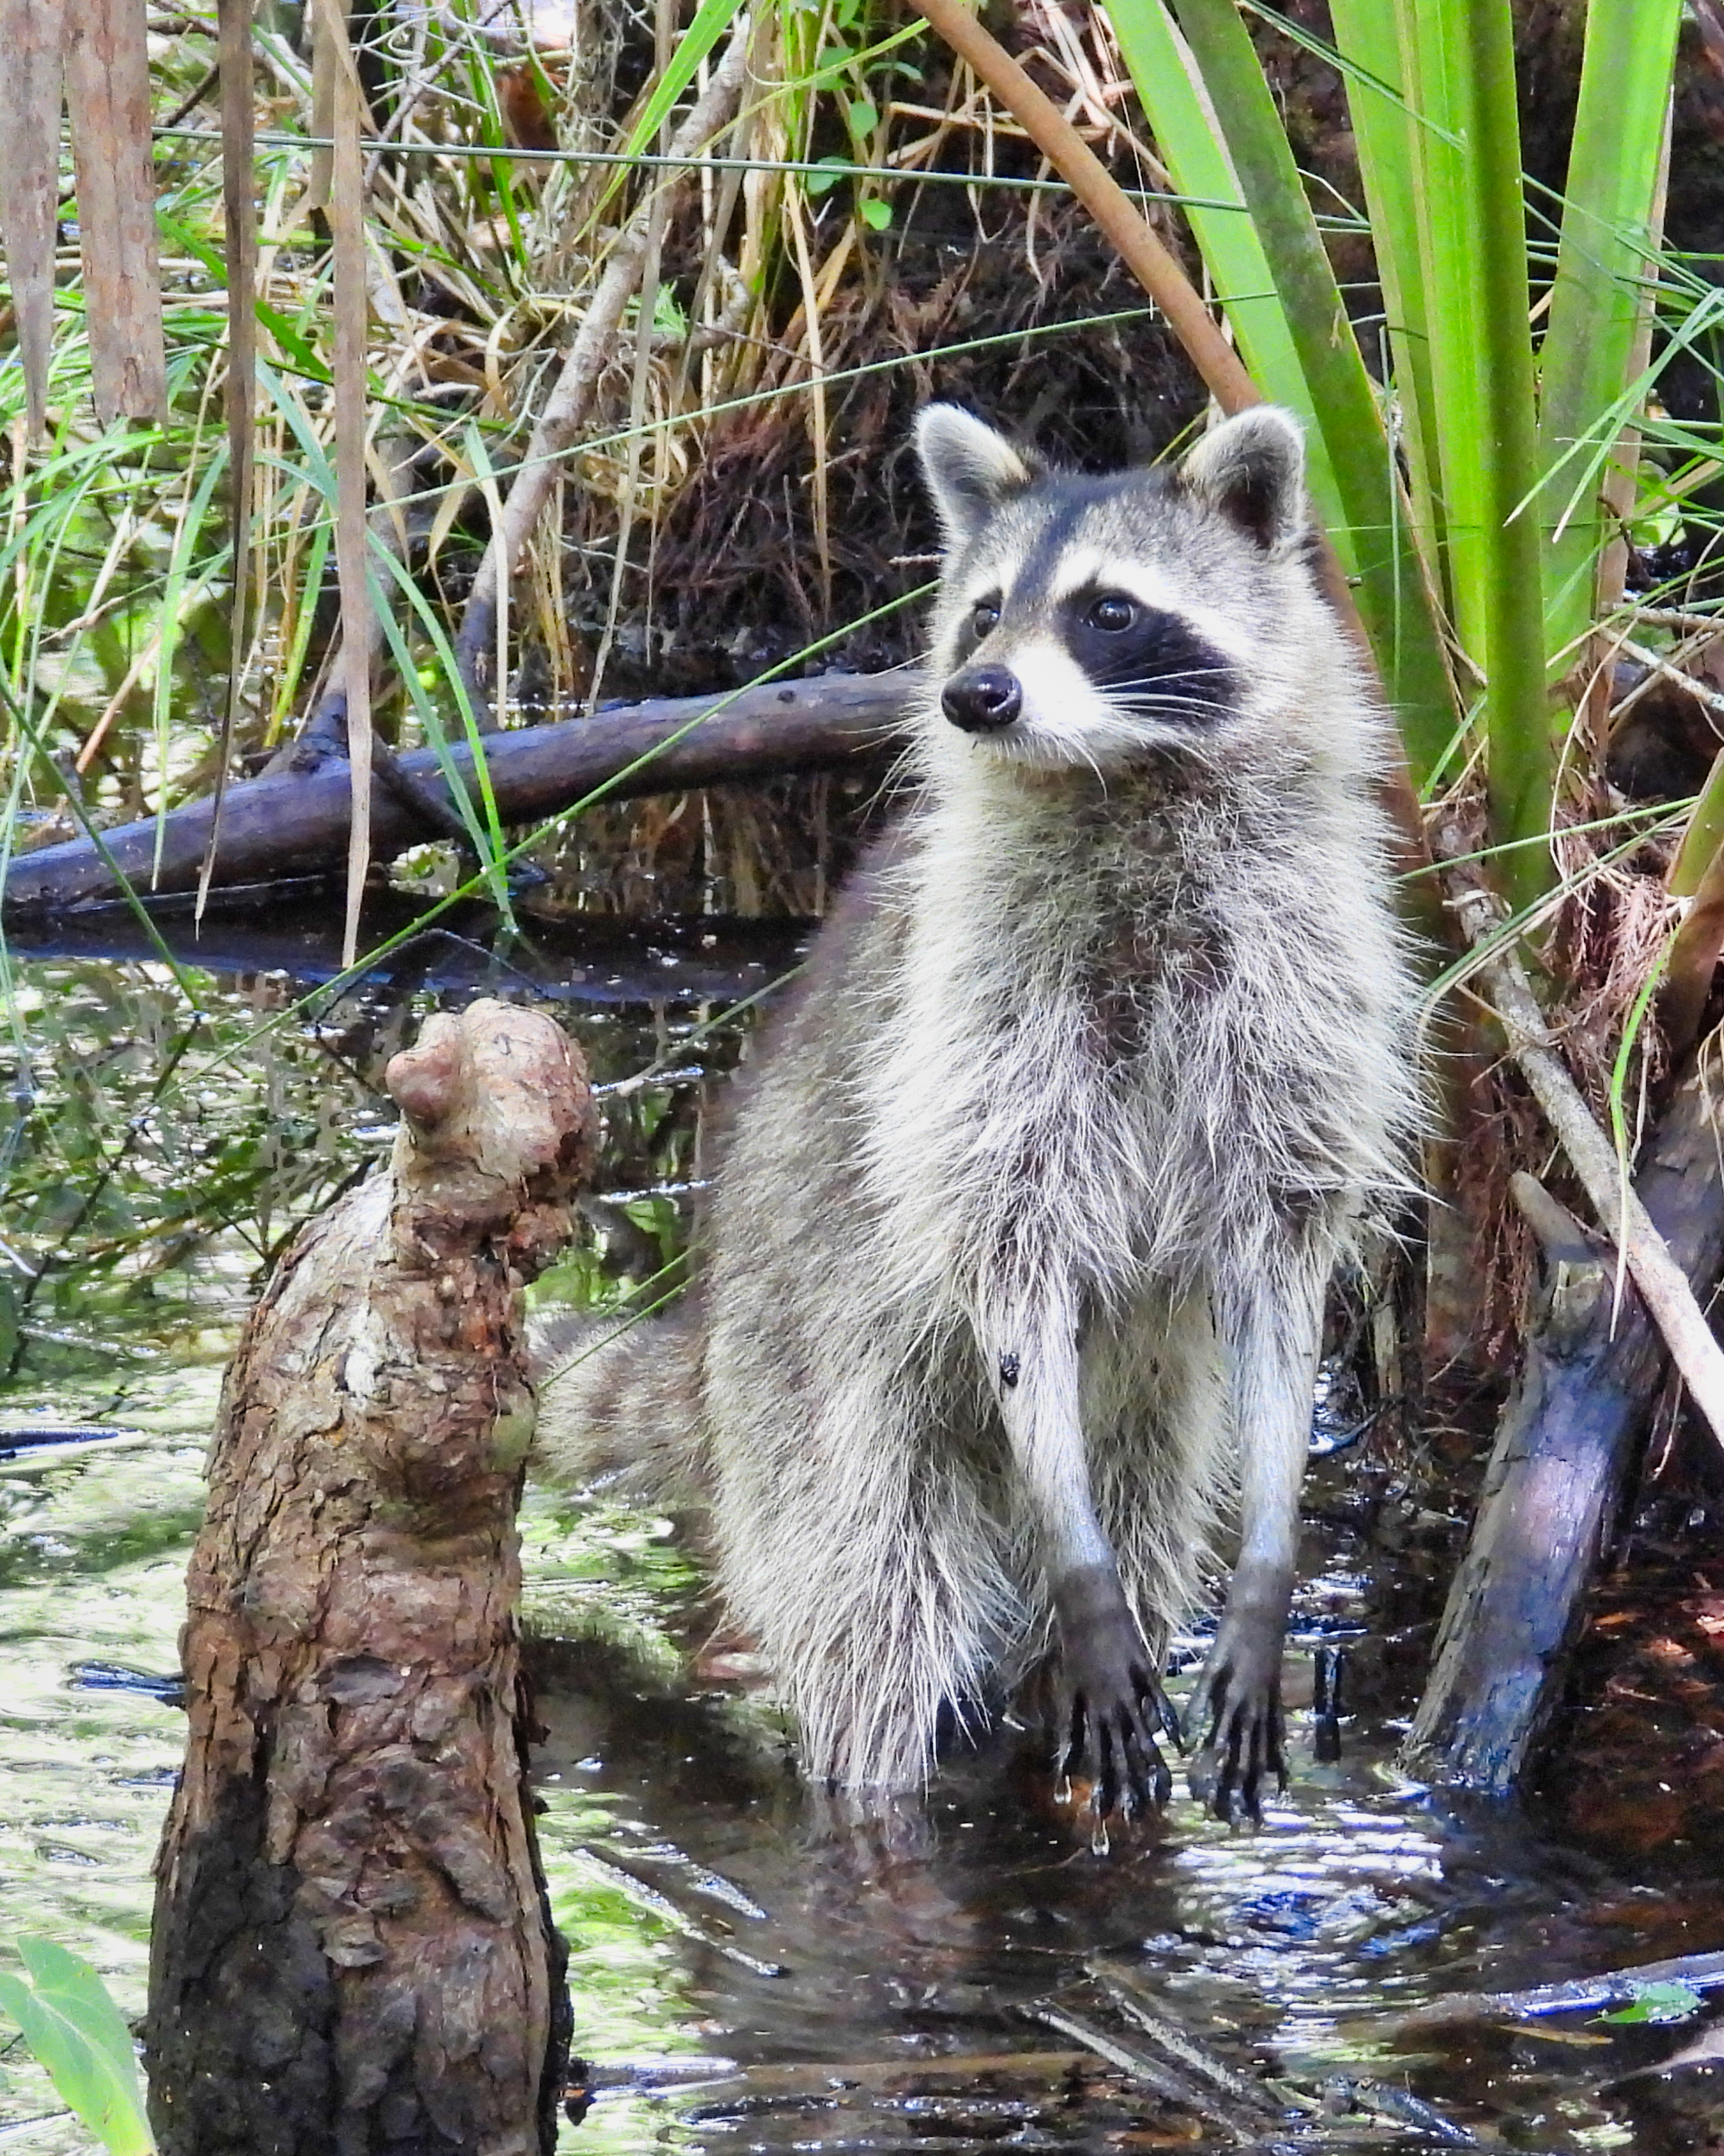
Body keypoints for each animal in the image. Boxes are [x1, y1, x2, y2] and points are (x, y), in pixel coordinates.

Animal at [533, 404, 1420, 1824]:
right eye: (984, 612)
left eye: (1109, 611)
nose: (976, 695)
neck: (1121, 781)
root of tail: (713, 1343)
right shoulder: (978, 1017)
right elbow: (1008, 1255)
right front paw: (1079, 1567)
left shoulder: (1300, 989)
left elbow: (1276, 1268)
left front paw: (1270, 1558)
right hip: (827, 1419)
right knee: (876, 1625)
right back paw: (875, 1796)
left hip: (1140, 1430)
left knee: (1130, 1527)